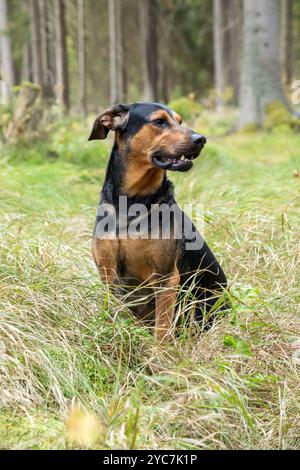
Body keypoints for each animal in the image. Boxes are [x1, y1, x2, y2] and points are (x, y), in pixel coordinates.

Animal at [88, 103, 227, 342]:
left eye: (180, 122)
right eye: (159, 121)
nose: (201, 139)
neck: (131, 203)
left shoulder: (166, 278)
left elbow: (162, 330)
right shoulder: (109, 275)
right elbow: (119, 315)